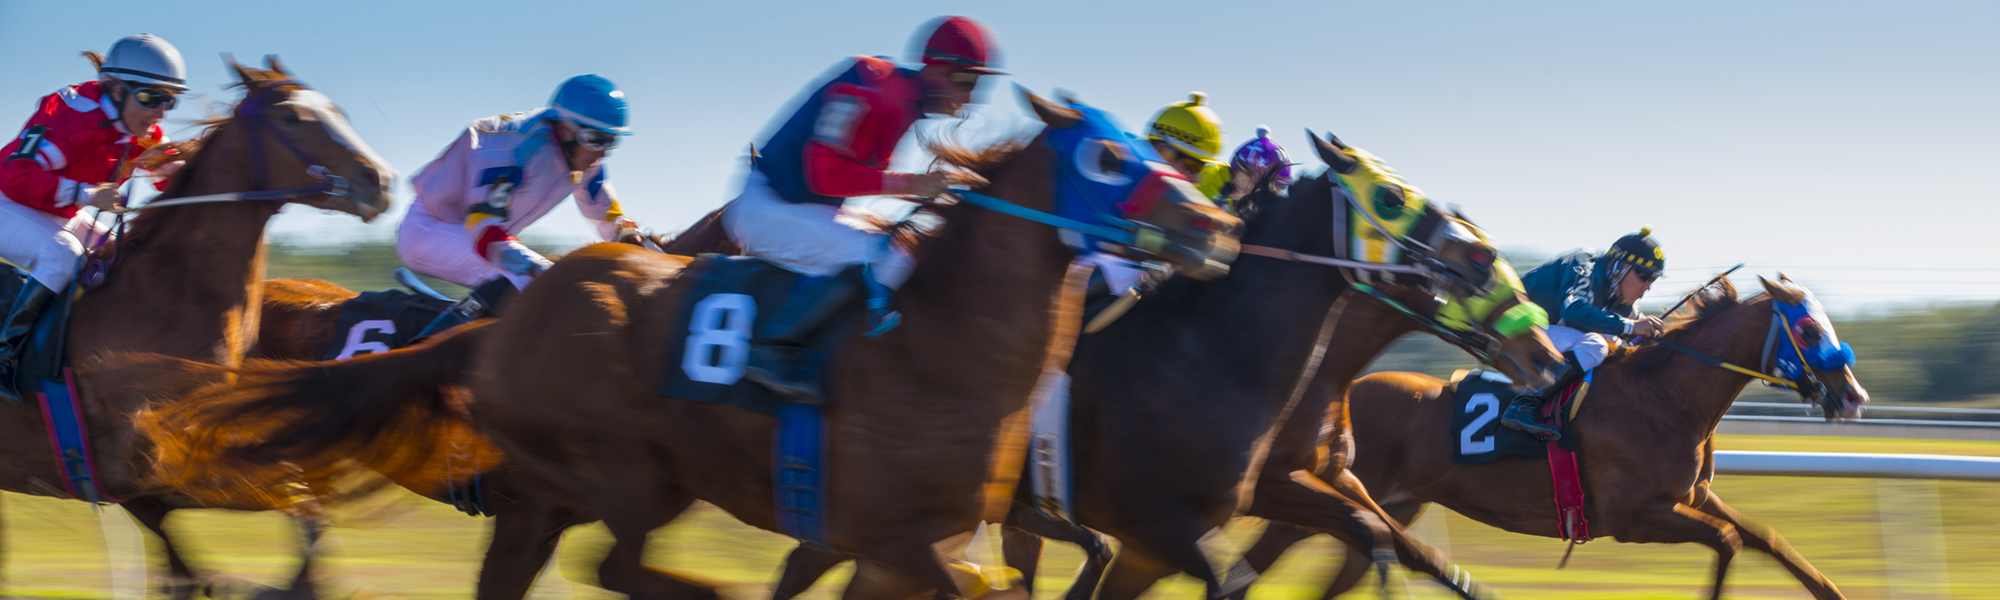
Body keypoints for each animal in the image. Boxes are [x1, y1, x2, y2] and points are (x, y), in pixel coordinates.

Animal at [0, 58, 394, 596]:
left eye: (338, 111)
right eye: (291, 117)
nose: (380, 181)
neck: (166, 299)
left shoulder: (150, 484)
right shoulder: (155, 468)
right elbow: (298, 508)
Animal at [137, 90, 1232, 600]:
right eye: (1107, 156)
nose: (1213, 227)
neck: (942, 342)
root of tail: (508, 326)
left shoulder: (940, 540)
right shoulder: (894, 538)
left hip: (565, 496)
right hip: (622, 475)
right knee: (617, 566)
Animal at [764, 131, 1560, 600]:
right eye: (1391, 198)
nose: (1544, 354)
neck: (1213, 352)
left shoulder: (1308, 485)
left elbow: (1395, 541)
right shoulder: (1207, 507)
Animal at [1224, 276, 1864, 600]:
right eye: (1810, 329)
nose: (1854, 396)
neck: (1662, 395)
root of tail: (1333, 385)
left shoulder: (1693, 498)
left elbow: (1765, 537)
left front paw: (1832, 590)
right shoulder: (1634, 517)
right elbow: (1729, 541)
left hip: (1388, 508)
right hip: (1312, 495)